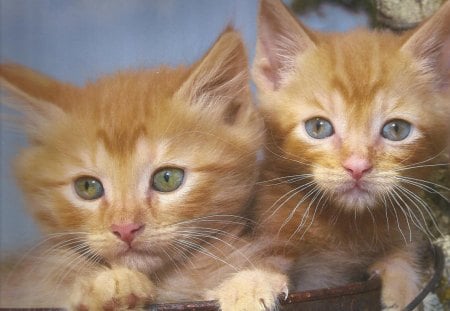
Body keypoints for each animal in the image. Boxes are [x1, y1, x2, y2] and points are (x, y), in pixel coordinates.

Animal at [248, 0, 448, 310]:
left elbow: (403, 254)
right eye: (318, 127)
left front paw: (402, 286)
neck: (343, 228)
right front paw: (248, 286)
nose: (357, 167)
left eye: (396, 129)